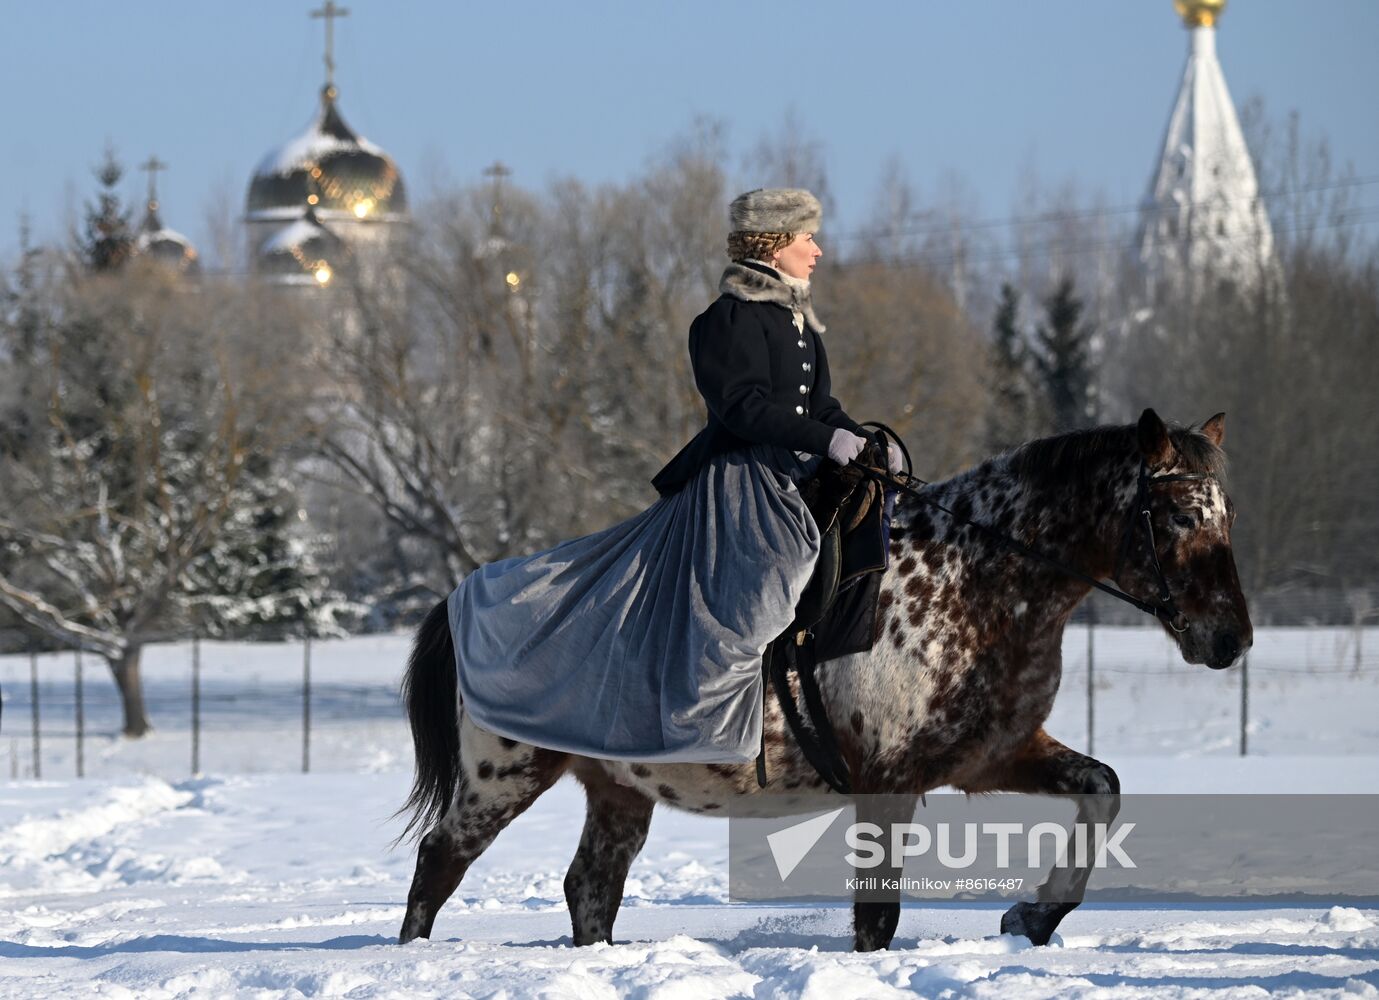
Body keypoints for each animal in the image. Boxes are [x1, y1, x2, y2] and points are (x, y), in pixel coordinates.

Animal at [397, 408, 1252, 954]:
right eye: (1178, 516)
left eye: (1226, 515)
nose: (1231, 639)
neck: (975, 577)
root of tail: (464, 596)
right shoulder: (889, 780)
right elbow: (876, 917)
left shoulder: (992, 756)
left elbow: (1102, 789)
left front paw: (1032, 918)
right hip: (503, 775)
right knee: (439, 864)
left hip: (617, 788)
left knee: (589, 888)